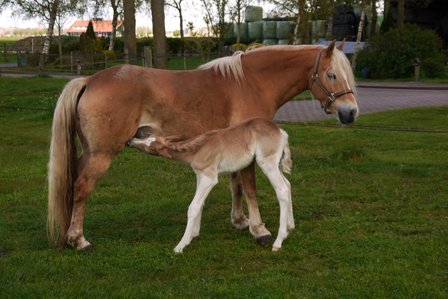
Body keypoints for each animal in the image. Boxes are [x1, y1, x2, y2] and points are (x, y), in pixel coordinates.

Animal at [128, 118, 294, 254]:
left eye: (150, 147)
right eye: (146, 138)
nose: (129, 141)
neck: (197, 150)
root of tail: (281, 132)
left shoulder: (209, 178)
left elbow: (193, 206)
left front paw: (181, 245)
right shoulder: (200, 176)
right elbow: (200, 204)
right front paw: (193, 235)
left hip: (267, 163)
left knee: (282, 189)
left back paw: (278, 242)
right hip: (275, 164)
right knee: (288, 184)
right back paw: (290, 227)